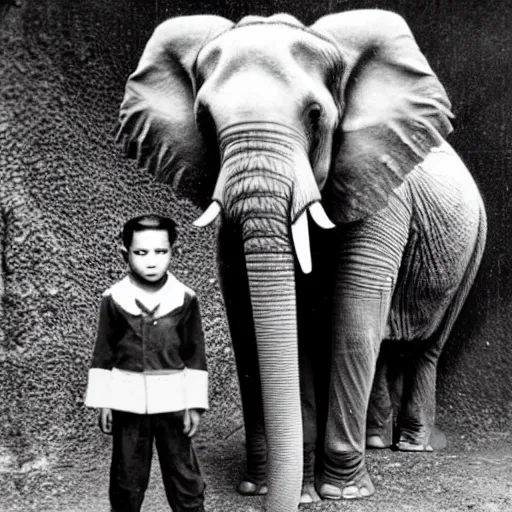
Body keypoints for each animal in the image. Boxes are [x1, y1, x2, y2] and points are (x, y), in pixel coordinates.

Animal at [114, 10, 486, 512]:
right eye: (204, 120)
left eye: (314, 116)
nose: (281, 499)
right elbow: (251, 317)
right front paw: (272, 487)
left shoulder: (380, 188)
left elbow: (354, 313)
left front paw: (341, 492)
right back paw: (375, 443)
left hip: (474, 244)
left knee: (423, 345)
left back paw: (411, 446)